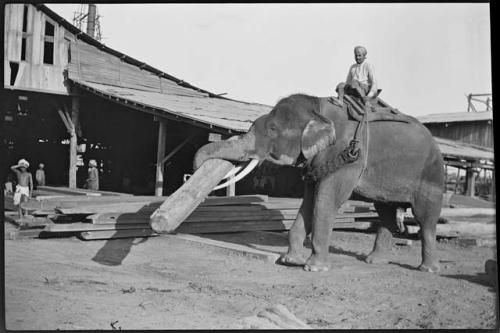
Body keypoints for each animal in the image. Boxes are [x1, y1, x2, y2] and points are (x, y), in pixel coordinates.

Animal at [193, 93, 444, 272]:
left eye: (273, 130)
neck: (319, 108)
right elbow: (309, 199)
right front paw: (289, 260)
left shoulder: (348, 154)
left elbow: (327, 198)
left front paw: (314, 268)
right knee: (386, 211)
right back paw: (373, 261)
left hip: (431, 175)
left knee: (425, 218)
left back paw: (427, 269)